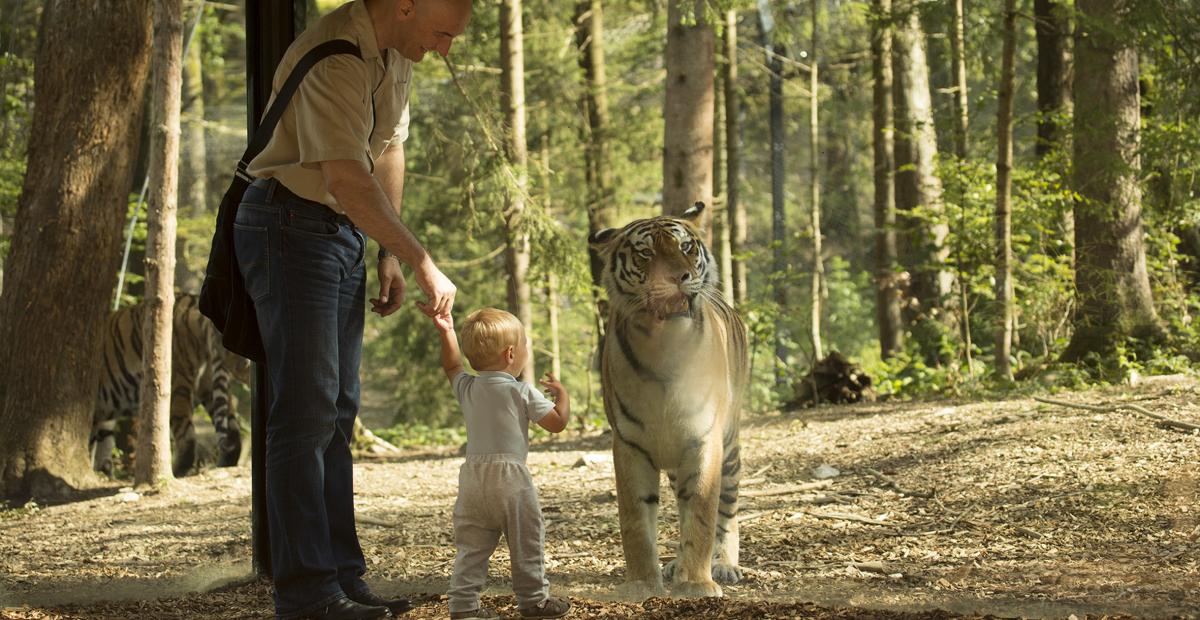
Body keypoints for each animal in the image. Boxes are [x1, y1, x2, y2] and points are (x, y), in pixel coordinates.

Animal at [89, 292, 250, 477]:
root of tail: (193, 300)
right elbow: (104, 444)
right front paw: (103, 472)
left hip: (177, 385)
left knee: (187, 439)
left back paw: (174, 473)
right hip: (208, 384)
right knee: (232, 435)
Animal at [585, 202, 744, 599]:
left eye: (685, 247)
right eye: (646, 254)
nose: (679, 277)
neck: (663, 346)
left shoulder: (704, 439)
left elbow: (702, 513)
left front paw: (697, 583)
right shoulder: (629, 443)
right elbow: (635, 520)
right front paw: (642, 583)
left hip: (730, 446)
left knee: (728, 508)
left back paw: (724, 564)